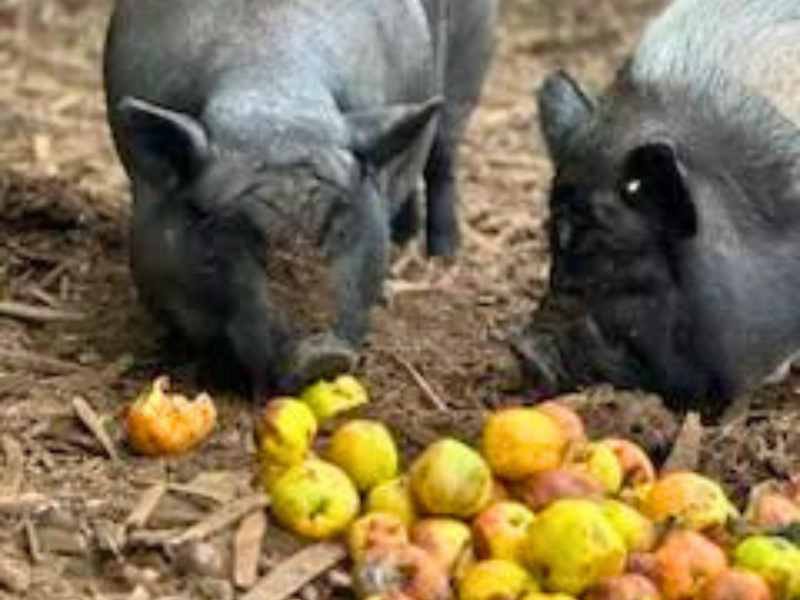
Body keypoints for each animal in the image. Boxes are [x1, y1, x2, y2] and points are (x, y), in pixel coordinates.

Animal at [103, 0, 496, 396]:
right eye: (237, 233)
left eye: (340, 226)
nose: (320, 354)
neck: (271, 93)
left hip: (469, 60)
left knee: (443, 157)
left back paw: (443, 256)